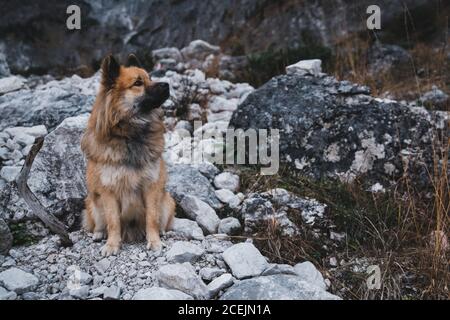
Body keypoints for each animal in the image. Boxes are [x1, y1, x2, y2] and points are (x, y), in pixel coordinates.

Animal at [80, 53, 174, 256]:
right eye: (138, 83)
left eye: (150, 78)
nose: (167, 84)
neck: (129, 135)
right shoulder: (108, 191)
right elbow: (113, 221)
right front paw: (112, 245)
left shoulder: (151, 187)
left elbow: (152, 218)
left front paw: (155, 241)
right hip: (93, 203)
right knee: (98, 223)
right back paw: (99, 233)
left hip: (168, 201)